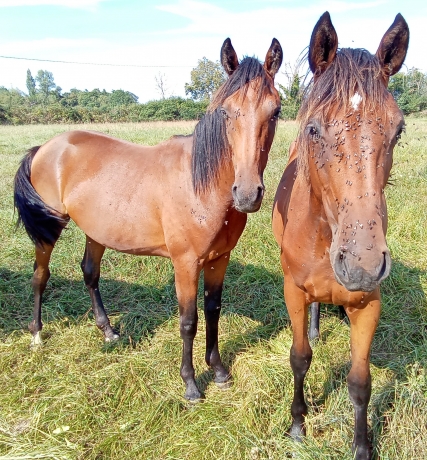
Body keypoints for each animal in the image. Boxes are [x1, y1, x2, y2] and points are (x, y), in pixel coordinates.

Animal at [15, 36, 284, 402]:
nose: (247, 193)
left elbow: (213, 312)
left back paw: (109, 333)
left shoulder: (220, 259)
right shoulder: (185, 264)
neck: (200, 185)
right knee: (40, 277)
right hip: (50, 229)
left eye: (276, 111)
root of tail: (45, 148)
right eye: (225, 111)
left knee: (90, 273)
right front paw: (190, 385)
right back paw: (37, 335)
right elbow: (189, 321)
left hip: (97, 231)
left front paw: (218, 371)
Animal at [274, 12, 412, 458]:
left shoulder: (369, 306)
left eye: (398, 130)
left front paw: (362, 446)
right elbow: (300, 357)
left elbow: (360, 382)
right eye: (314, 129)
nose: (362, 265)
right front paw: (298, 425)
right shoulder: (293, 292)